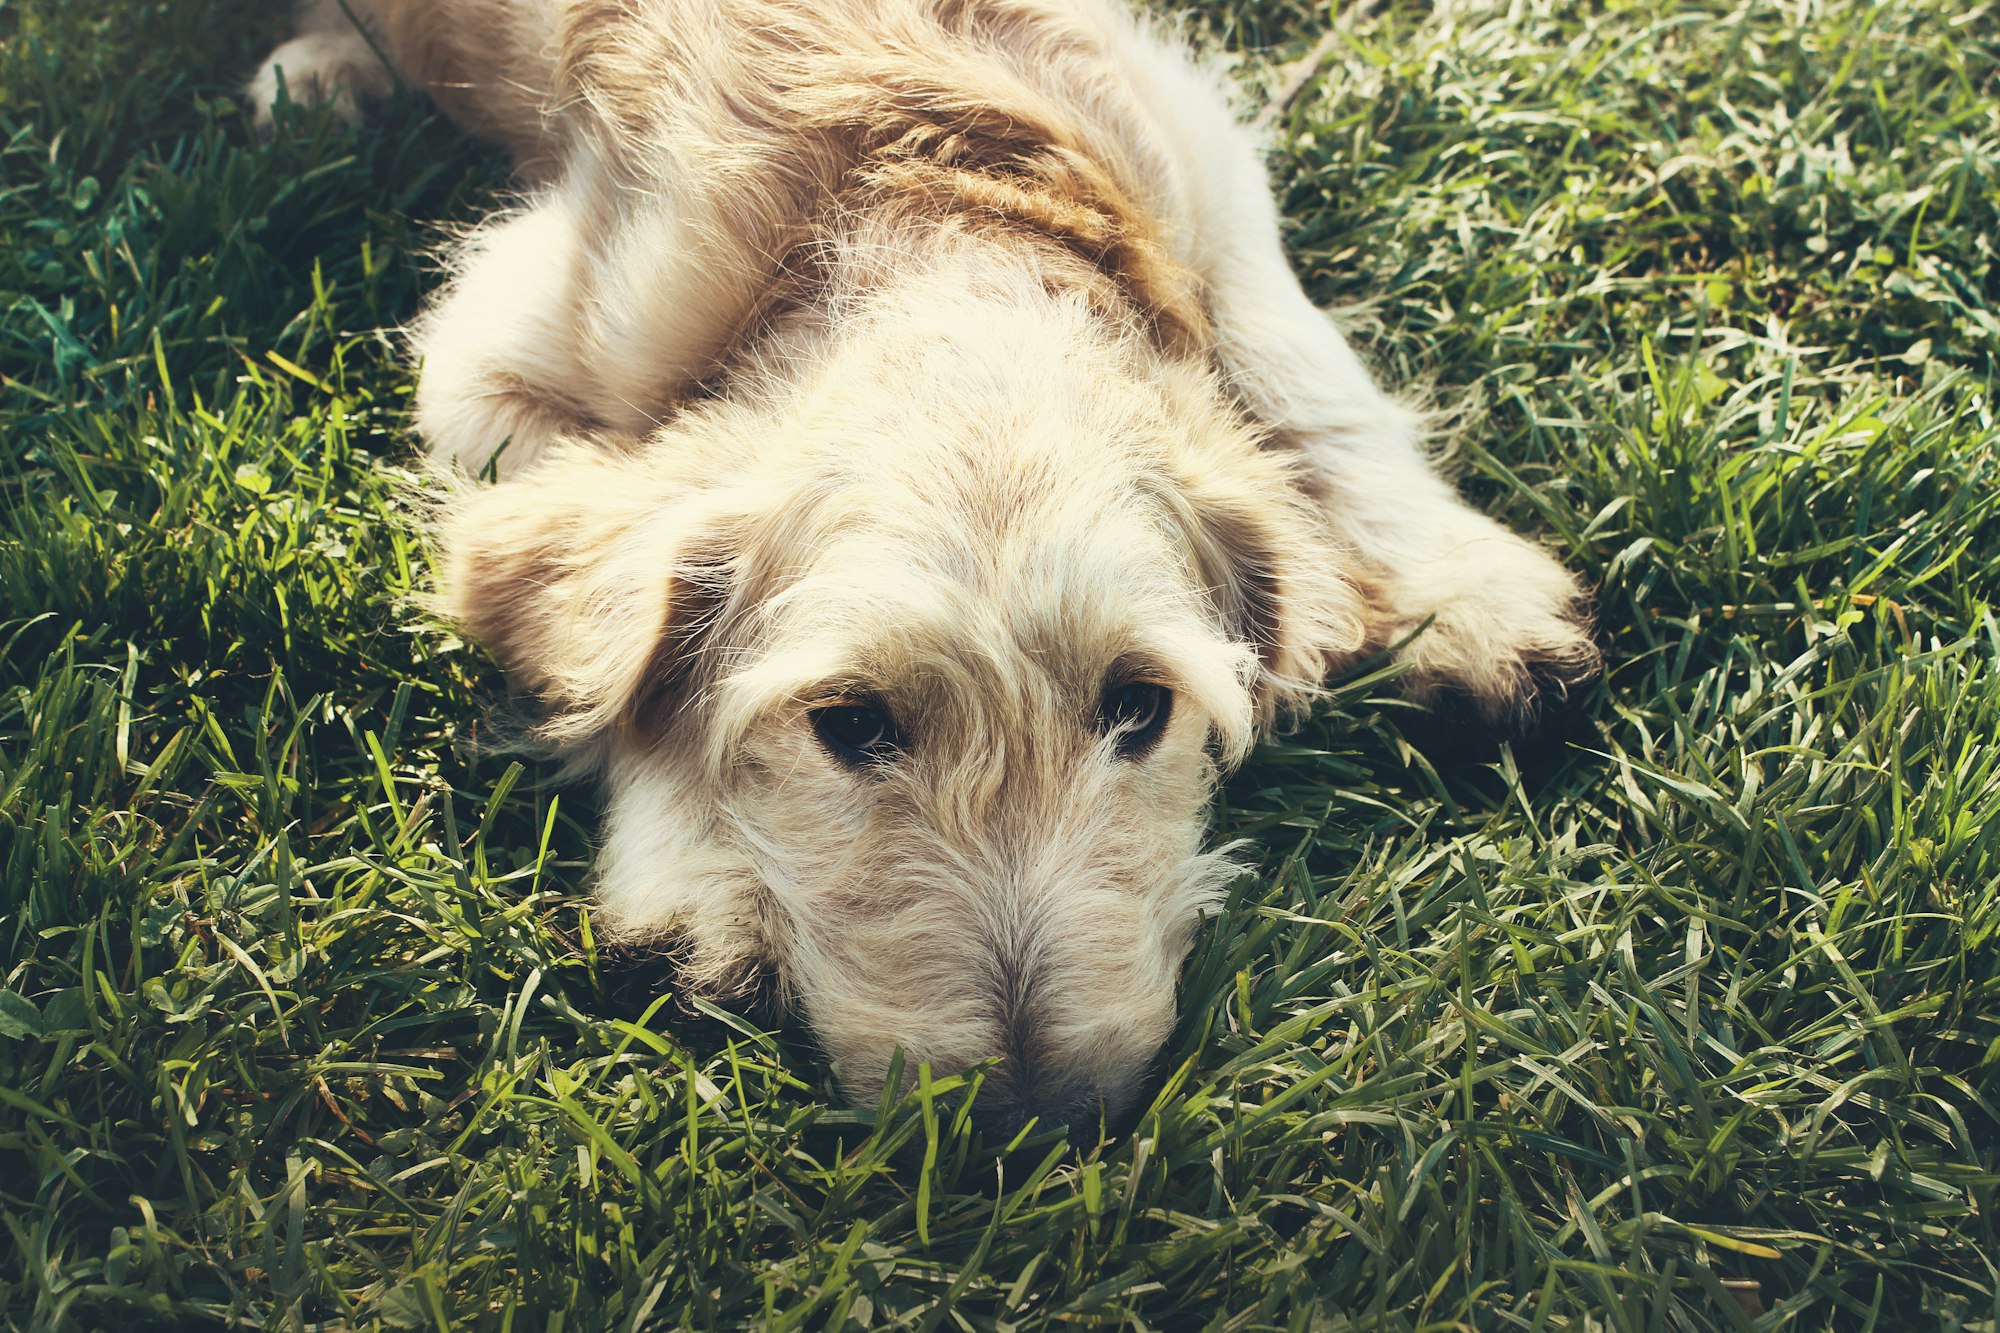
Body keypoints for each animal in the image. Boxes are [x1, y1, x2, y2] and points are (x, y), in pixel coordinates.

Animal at [250, 0, 1592, 1128]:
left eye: (1139, 706)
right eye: (848, 722)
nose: (1035, 1123)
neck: (923, 207)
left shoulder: (1194, 162)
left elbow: (1304, 369)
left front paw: (1470, 598)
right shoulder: (490, 351)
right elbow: (629, 665)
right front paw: (703, 876)